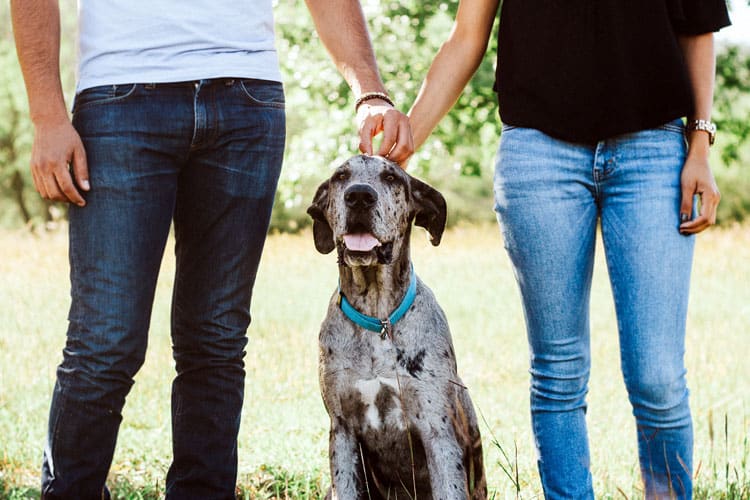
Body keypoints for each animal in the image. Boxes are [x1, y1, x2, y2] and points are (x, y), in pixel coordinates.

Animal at [306, 155, 488, 500]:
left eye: (391, 177)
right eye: (341, 176)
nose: (359, 196)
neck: (378, 318)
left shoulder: (438, 431)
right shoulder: (342, 431)